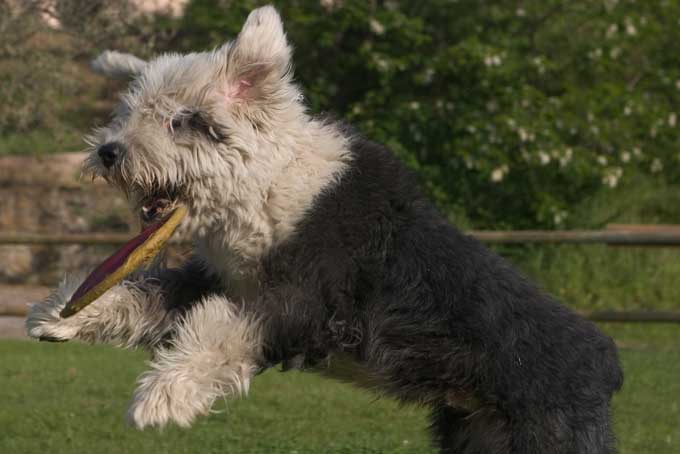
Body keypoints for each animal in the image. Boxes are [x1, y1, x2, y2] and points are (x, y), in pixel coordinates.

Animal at [25, 7, 620, 454]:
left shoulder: (308, 303)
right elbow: (148, 292)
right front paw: (57, 315)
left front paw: (159, 398)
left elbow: (221, 329)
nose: (108, 152)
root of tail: (607, 369)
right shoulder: (215, 278)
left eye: (183, 120)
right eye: (128, 112)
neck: (271, 193)